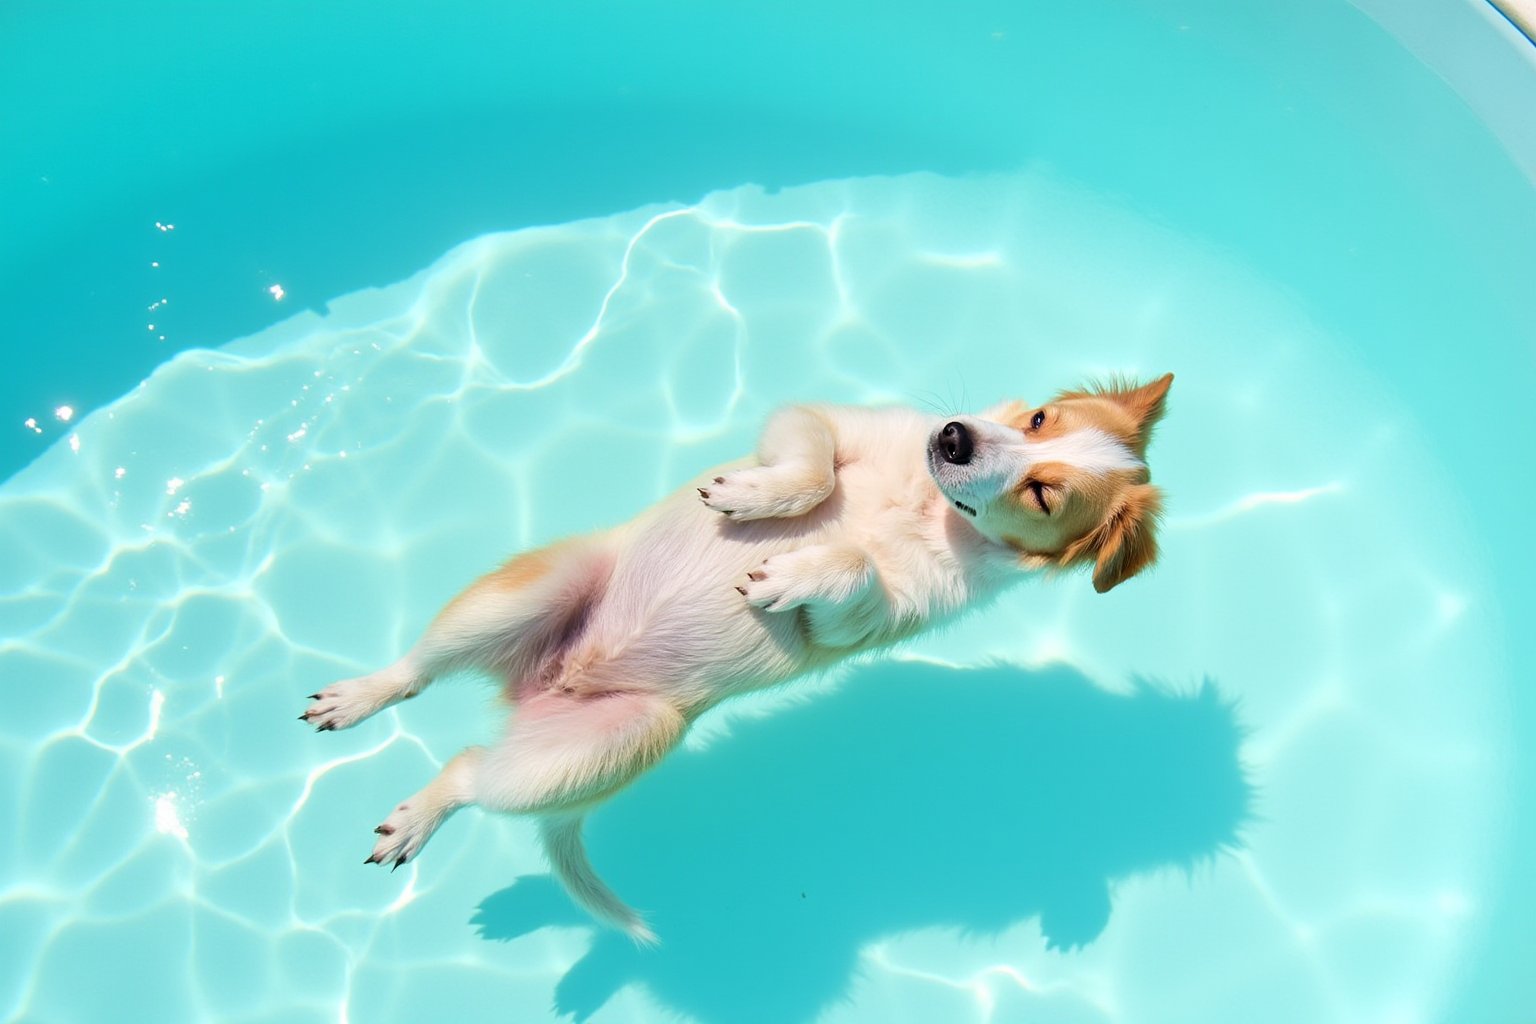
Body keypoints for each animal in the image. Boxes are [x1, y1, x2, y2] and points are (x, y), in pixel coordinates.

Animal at [302, 373, 1173, 939]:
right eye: (1038, 417)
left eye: (1043, 495)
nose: (952, 436)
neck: (925, 505)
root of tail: (536, 689)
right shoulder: (819, 419)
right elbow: (814, 464)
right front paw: (760, 499)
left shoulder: (865, 622)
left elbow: (849, 569)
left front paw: (796, 569)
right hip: (523, 595)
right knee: (416, 674)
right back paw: (358, 699)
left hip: (623, 739)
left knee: (470, 770)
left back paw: (419, 816)